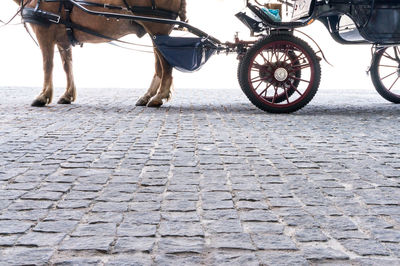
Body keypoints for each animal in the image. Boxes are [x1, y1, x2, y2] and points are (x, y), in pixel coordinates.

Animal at [13, 0, 186, 108]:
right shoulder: (63, 39)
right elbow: (67, 66)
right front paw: (68, 94)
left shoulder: (44, 31)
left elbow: (47, 65)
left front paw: (43, 96)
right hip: (155, 34)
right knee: (159, 67)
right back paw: (147, 96)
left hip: (157, 28)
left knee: (166, 65)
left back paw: (159, 96)